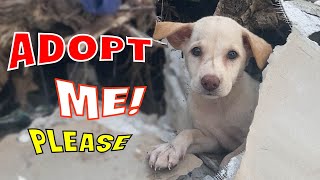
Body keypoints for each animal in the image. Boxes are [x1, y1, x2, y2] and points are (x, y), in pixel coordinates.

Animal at [149, 16, 272, 171]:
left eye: (232, 54)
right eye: (196, 51)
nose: (210, 82)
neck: (219, 104)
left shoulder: (246, 139)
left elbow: (231, 156)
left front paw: (226, 168)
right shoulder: (213, 140)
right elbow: (188, 132)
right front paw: (169, 149)